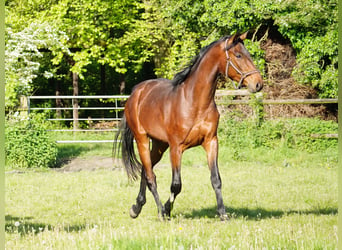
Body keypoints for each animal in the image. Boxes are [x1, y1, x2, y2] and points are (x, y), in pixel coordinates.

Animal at [113, 31, 264, 221]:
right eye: (238, 55)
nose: (258, 83)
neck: (195, 102)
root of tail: (136, 93)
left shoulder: (211, 142)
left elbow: (216, 179)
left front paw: (223, 214)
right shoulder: (176, 148)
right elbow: (176, 185)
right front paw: (166, 210)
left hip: (159, 145)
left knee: (145, 171)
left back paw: (136, 207)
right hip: (142, 141)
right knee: (150, 176)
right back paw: (159, 211)